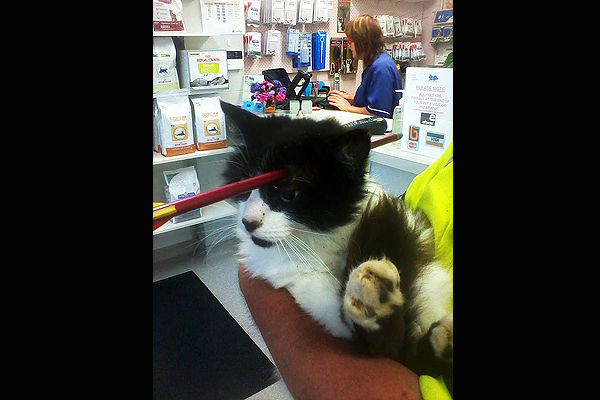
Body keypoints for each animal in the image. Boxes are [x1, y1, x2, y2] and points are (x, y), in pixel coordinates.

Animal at [219, 100, 452, 378]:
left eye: (289, 194)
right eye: (244, 185)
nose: (249, 222)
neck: (320, 244)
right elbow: (385, 347)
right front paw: (375, 299)